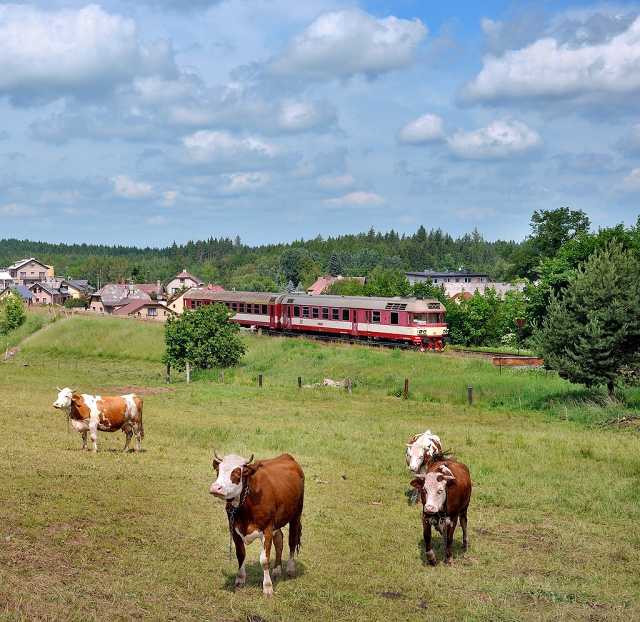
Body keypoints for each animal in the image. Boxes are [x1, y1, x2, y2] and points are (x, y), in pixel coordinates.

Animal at [208, 454, 302, 600]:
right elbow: (240, 554)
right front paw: (240, 579)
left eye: (237, 472)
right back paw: (277, 570)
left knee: (292, 540)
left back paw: (290, 569)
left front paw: (267, 587)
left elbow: (264, 560)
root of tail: (287, 456)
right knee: (279, 540)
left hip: (296, 514)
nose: (215, 488)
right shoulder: (234, 528)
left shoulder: (267, 529)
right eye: (218, 470)